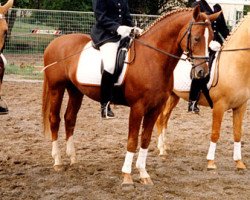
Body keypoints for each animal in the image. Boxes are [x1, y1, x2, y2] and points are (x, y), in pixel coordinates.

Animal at [43, 7, 221, 186]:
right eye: (197, 38)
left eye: (211, 38)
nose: (202, 73)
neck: (152, 58)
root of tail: (55, 42)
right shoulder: (137, 108)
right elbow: (132, 140)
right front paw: (127, 176)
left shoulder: (155, 108)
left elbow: (145, 139)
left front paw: (143, 174)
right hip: (56, 88)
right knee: (54, 119)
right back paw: (58, 161)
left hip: (75, 91)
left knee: (70, 119)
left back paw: (73, 159)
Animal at [156, 13, 250, 170]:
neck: (234, 64)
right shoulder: (219, 106)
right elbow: (215, 133)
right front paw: (211, 162)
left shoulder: (240, 107)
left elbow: (237, 133)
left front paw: (239, 163)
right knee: (160, 119)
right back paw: (161, 149)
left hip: (174, 97)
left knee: (164, 118)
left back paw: (164, 146)